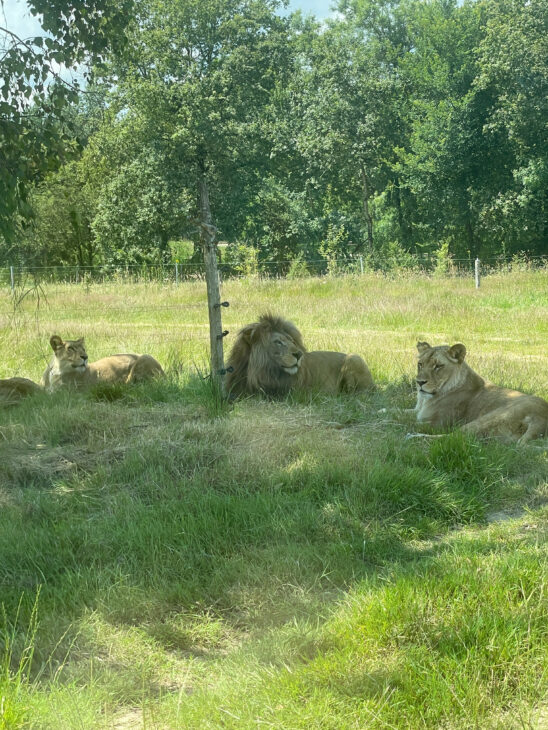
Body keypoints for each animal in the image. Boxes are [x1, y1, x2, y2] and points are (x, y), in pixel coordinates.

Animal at [416, 338, 548, 440]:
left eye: (438, 366)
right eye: (420, 364)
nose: (419, 382)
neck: (424, 400)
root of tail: (541, 417)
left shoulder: (436, 423)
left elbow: (411, 421)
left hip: (490, 418)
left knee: (455, 437)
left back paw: (414, 436)